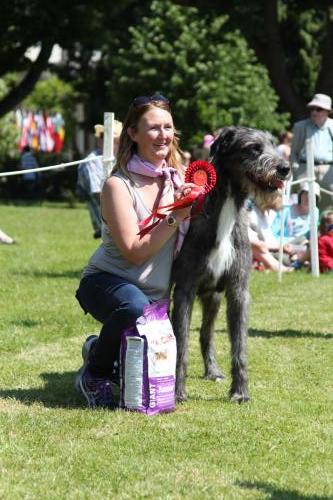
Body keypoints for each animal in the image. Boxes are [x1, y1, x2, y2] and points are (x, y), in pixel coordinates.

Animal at [170, 127, 290, 404]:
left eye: (273, 144)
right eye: (254, 148)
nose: (285, 168)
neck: (227, 210)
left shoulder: (238, 291)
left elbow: (240, 345)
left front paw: (240, 392)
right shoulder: (184, 290)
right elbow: (181, 342)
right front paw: (178, 392)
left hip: (213, 297)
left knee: (206, 334)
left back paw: (212, 370)